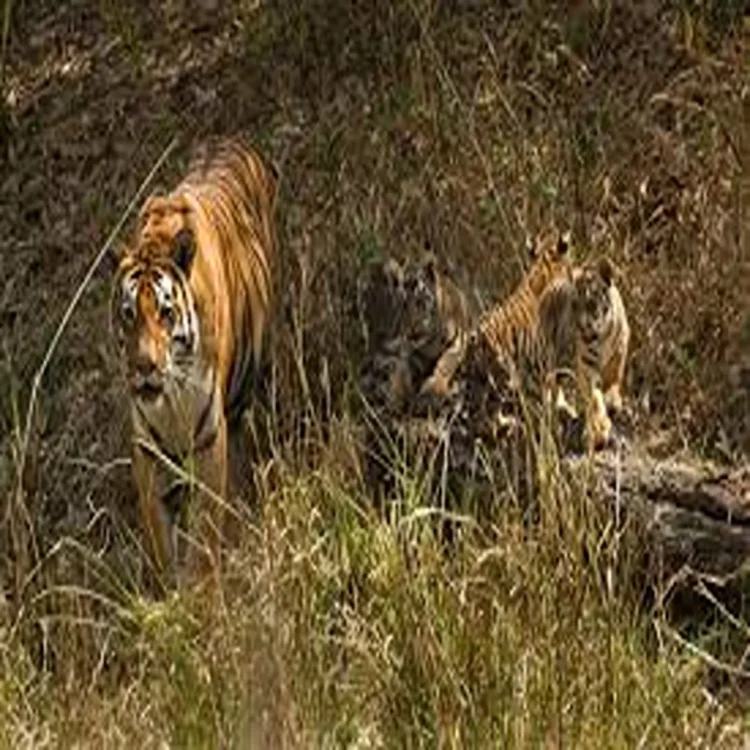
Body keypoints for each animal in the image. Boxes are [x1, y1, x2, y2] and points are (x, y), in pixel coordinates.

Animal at [111, 138, 277, 587]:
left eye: (165, 313)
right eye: (128, 314)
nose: (144, 367)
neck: (170, 399)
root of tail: (232, 138)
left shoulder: (209, 437)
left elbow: (205, 531)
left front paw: (202, 589)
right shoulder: (147, 448)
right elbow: (156, 532)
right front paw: (165, 590)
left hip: (246, 388)